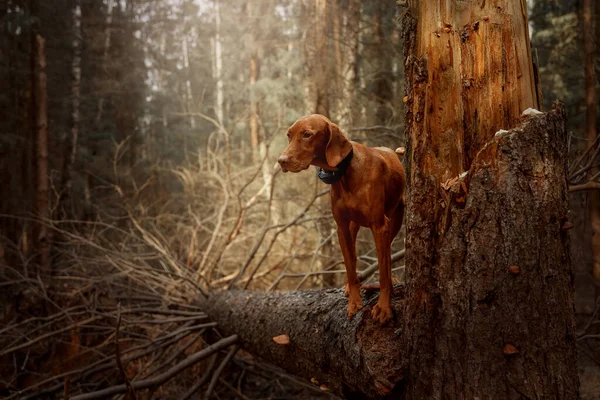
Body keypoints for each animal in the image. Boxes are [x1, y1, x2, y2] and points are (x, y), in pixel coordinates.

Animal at [278, 114, 406, 324]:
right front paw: (354, 302)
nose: (281, 161)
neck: (346, 173)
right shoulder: (342, 228)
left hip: (395, 220)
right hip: (353, 227)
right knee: (353, 259)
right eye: (289, 135)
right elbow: (350, 267)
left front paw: (383, 307)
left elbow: (382, 272)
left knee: (386, 257)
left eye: (307, 134)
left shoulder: (380, 226)